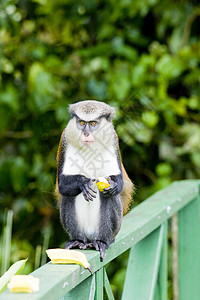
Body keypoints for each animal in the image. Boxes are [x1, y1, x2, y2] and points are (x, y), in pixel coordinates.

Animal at [55, 99, 134, 262]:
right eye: (81, 122)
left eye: (92, 123)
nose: (86, 133)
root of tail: (89, 238)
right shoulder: (65, 139)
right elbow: (62, 185)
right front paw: (83, 183)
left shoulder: (113, 140)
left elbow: (119, 182)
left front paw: (114, 185)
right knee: (68, 195)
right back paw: (77, 241)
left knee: (108, 196)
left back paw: (102, 242)